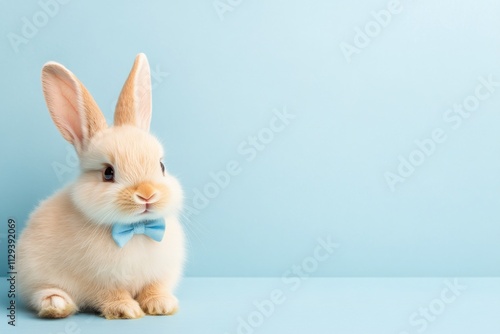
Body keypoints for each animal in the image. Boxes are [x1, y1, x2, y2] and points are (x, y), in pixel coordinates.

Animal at [17, 52, 187, 318]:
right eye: (108, 173)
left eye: (161, 166)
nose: (147, 194)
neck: (135, 230)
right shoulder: (99, 281)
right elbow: (111, 294)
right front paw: (126, 310)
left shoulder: (159, 275)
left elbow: (154, 288)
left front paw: (161, 305)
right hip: (33, 274)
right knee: (42, 293)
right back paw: (56, 305)